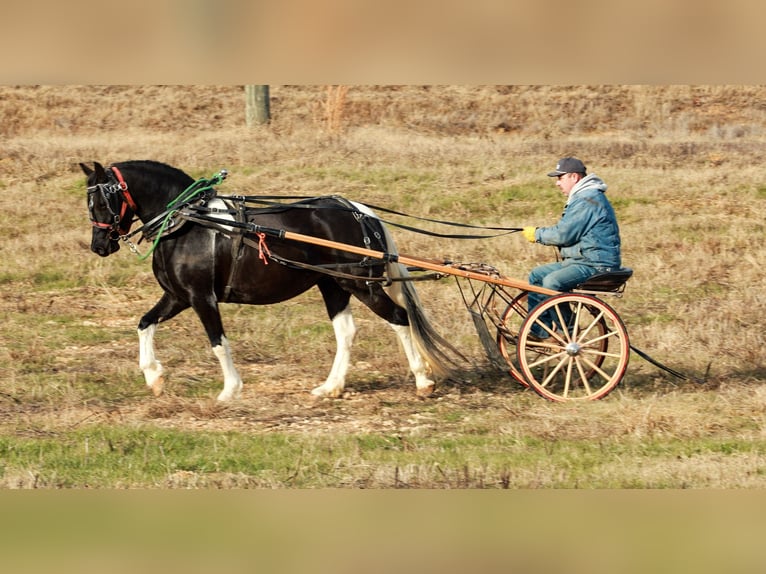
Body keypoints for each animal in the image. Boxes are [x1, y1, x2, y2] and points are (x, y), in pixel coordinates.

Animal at [80, 160, 460, 401]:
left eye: (101, 200)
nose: (99, 246)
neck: (188, 223)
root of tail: (359, 212)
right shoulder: (178, 296)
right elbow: (144, 324)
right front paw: (154, 377)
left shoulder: (201, 297)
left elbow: (218, 342)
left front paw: (230, 390)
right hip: (333, 284)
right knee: (346, 332)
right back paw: (331, 387)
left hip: (359, 284)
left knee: (399, 318)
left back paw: (422, 380)